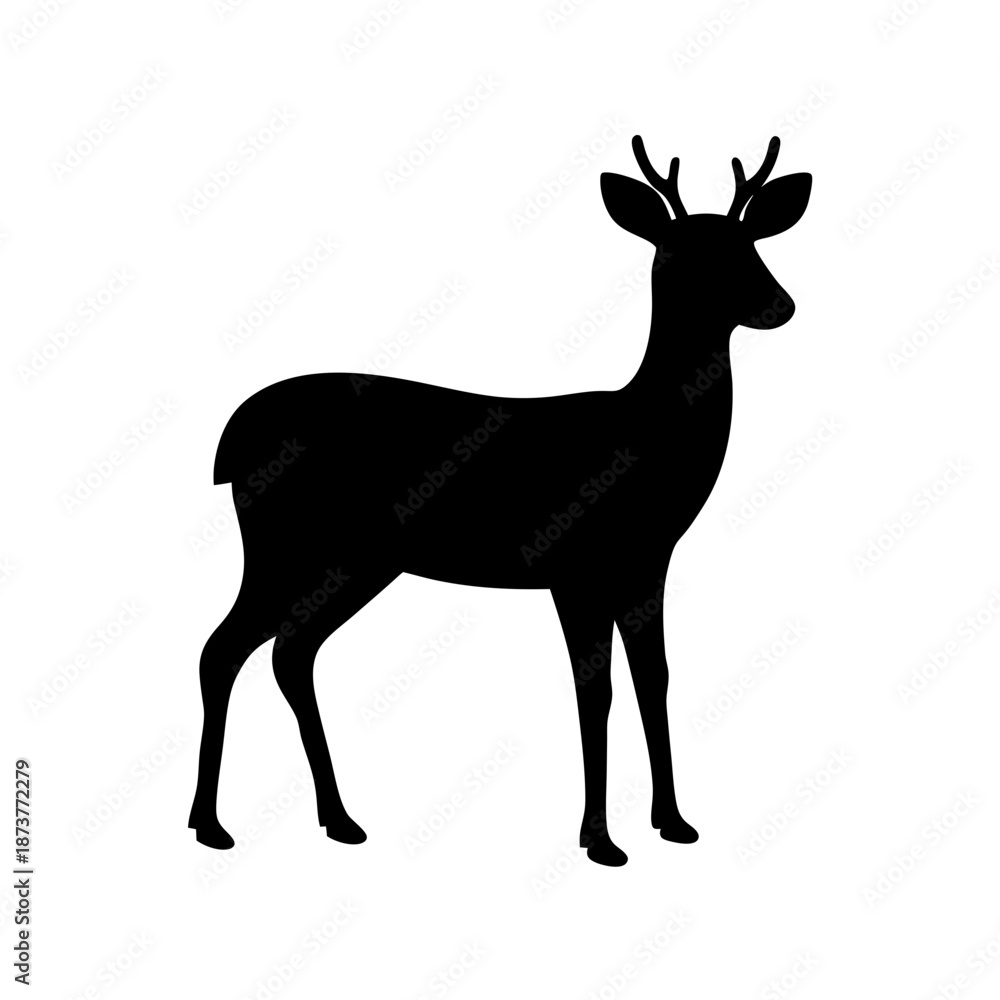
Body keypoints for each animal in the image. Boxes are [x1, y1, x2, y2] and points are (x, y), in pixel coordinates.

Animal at [189, 134, 811, 866]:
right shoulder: (576, 565)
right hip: (287, 542)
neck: (648, 436)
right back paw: (212, 824)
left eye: (751, 244)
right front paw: (600, 840)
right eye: (687, 253)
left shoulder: (645, 563)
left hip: (356, 560)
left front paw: (674, 822)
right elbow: (594, 689)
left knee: (288, 651)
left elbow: (653, 677)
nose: (780, 305)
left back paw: (336, 819)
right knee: (224, 648)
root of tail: (231, 441)